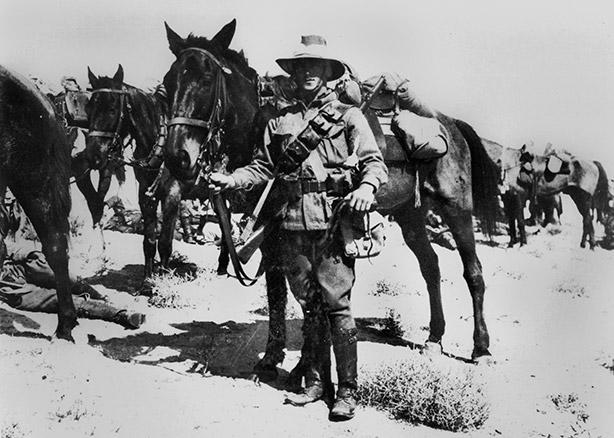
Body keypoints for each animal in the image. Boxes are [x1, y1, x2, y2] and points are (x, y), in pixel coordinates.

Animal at [86, 65, 183, 278]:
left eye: (112, 109)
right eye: (89, 108)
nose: (93, 156)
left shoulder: (173, 194)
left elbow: (165, 243)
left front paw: (162, 280)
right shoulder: (146, 194)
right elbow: (149, 241)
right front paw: (147, 279)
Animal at [162, 20, 500, 372]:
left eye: (206, 80)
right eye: (168, 83)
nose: (177, 157)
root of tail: (451, 125)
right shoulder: (271, 232)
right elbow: (276, 292)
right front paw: (272, 357)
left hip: (456, 209)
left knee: (473, 272)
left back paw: (482, 348)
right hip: (410, 214)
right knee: (430, 267)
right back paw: (434, 339)